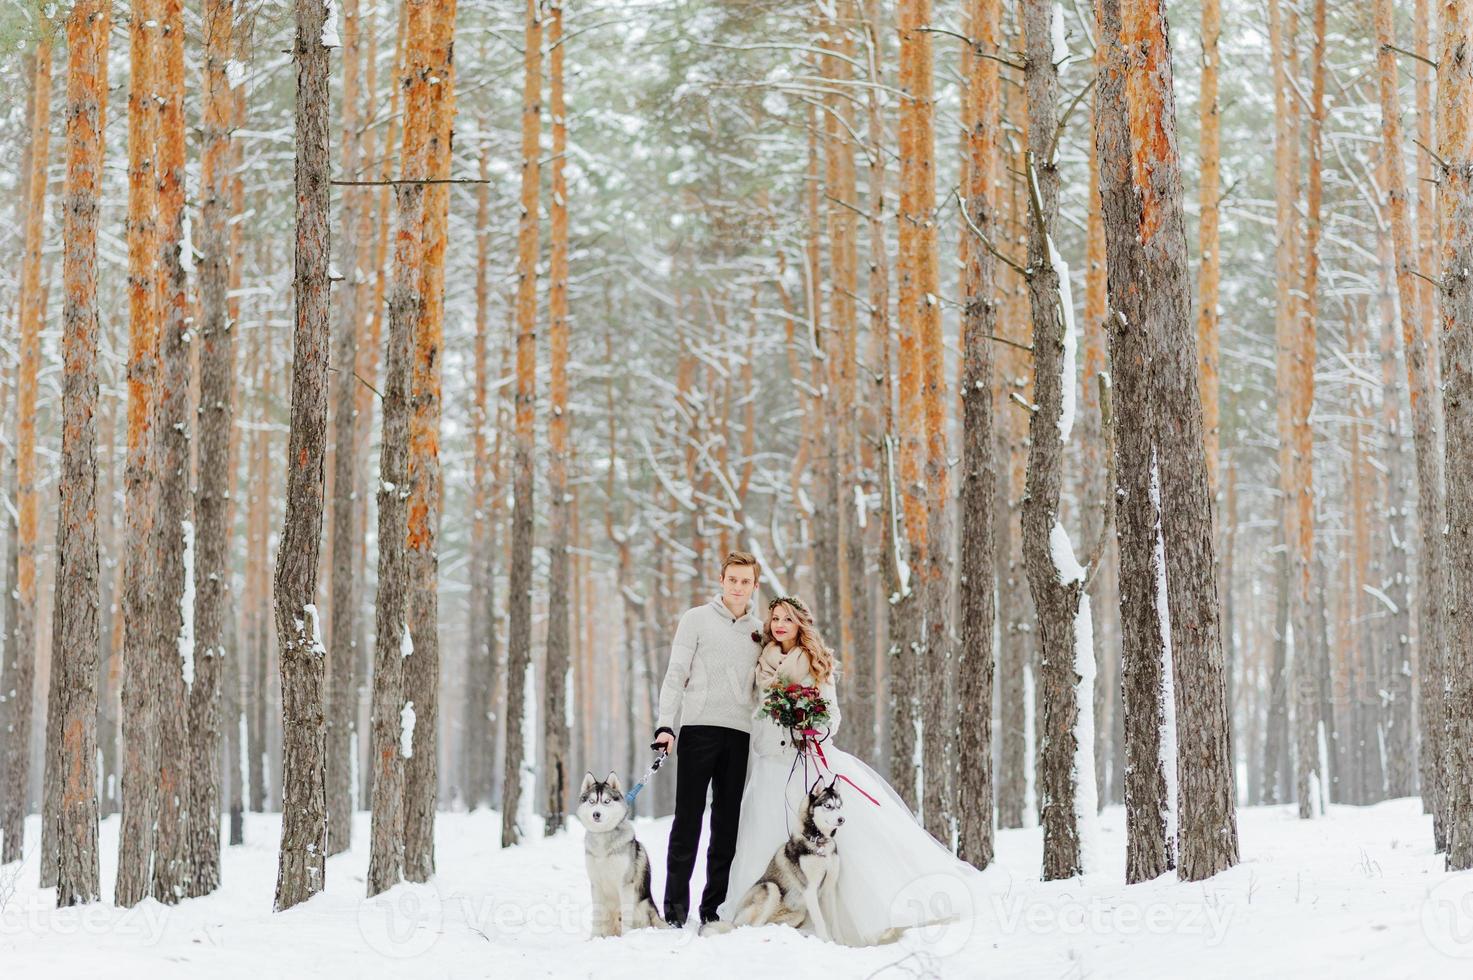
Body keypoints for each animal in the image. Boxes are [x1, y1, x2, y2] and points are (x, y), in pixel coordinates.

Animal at [574, 766, 668, 937]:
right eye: (592, 801)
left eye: (607, 801)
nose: (596, 814)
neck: (603, 839)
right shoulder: (595, 884)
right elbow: (596, 916)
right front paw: (593, 938)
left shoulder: (625, 883)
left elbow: (626, 915)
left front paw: (626, 937)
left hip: (642, 906)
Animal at [704, 778, 848, 943]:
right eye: (828, 806)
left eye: (839, 806)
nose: (842, 819)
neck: (819, 844)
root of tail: (734, 920)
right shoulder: (809, 889)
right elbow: (820, 920)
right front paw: (825, 941)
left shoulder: (829, 889)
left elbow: (835, 922)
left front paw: (840, 943)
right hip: (771, 888)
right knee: (753, 926)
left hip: (798, 914)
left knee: (766, 925)